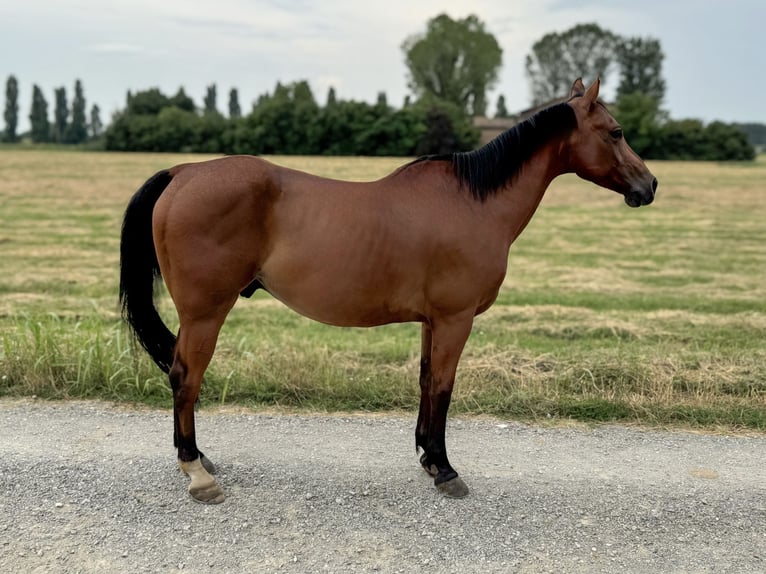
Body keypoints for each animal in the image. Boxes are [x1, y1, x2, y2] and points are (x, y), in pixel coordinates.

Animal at [119, 78, 657, 504]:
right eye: (616, 132)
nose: (649, 186)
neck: (474, 202)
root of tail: (183, 172)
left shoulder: (432, 322)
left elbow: (424, 382)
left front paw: (427, 457)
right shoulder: (455, 318)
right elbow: (443, 387)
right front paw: (445, 470)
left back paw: (201, 459)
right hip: (205, 313)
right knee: (185, 377)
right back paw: (196, 471)